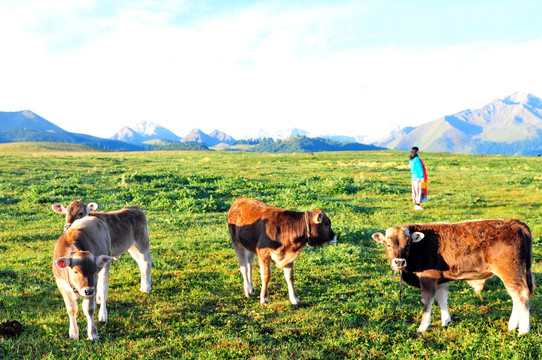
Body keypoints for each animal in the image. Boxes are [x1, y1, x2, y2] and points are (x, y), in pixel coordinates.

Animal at [372, 219, 536, 334]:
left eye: (408, 244)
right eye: (388, 244)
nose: (399, 262)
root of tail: (512, 223)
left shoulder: (428, 279)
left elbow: (426, 302)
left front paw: (422, 327)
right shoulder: (439, 280)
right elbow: (442, 299)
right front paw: (446, 321)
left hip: (510, 273)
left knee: (521, 295)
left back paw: (523, 330)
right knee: (516, 297)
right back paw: (512, 325)